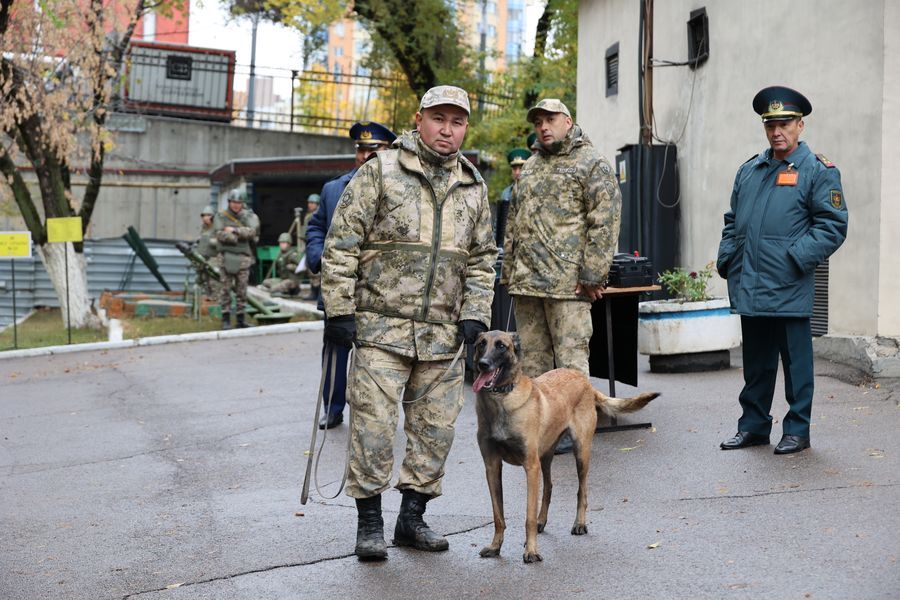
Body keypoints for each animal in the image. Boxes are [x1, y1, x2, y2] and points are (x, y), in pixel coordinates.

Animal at [472, 328, 660, 564]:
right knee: (549, 486)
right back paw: (542, 521)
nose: (483, 365)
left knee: (582, 491)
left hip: (580, 452)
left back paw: (579, 523)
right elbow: (498, 515)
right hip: (545, 457)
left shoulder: (530, 466)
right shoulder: (492, 467)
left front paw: (531, 551)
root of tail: (585, 381)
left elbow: (528, 516)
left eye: (501, 346)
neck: (502, 399)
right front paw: (495, 546)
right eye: (481, 344)